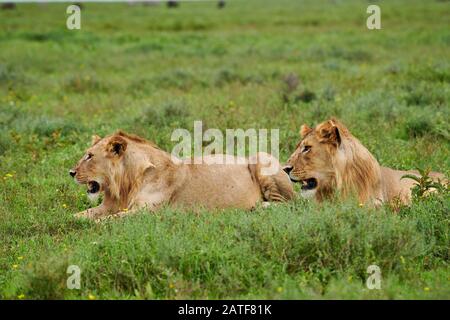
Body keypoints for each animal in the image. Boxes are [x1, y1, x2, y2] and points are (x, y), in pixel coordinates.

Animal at [69, 130, 296, 220]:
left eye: (89, 156)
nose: (70, 172)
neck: (126, 183)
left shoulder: (146, 212)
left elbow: (108, 220)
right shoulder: (109, 205)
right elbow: (80, 216)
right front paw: (72, 220)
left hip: (261, 157)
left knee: (291, 205)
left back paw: (260, 206)